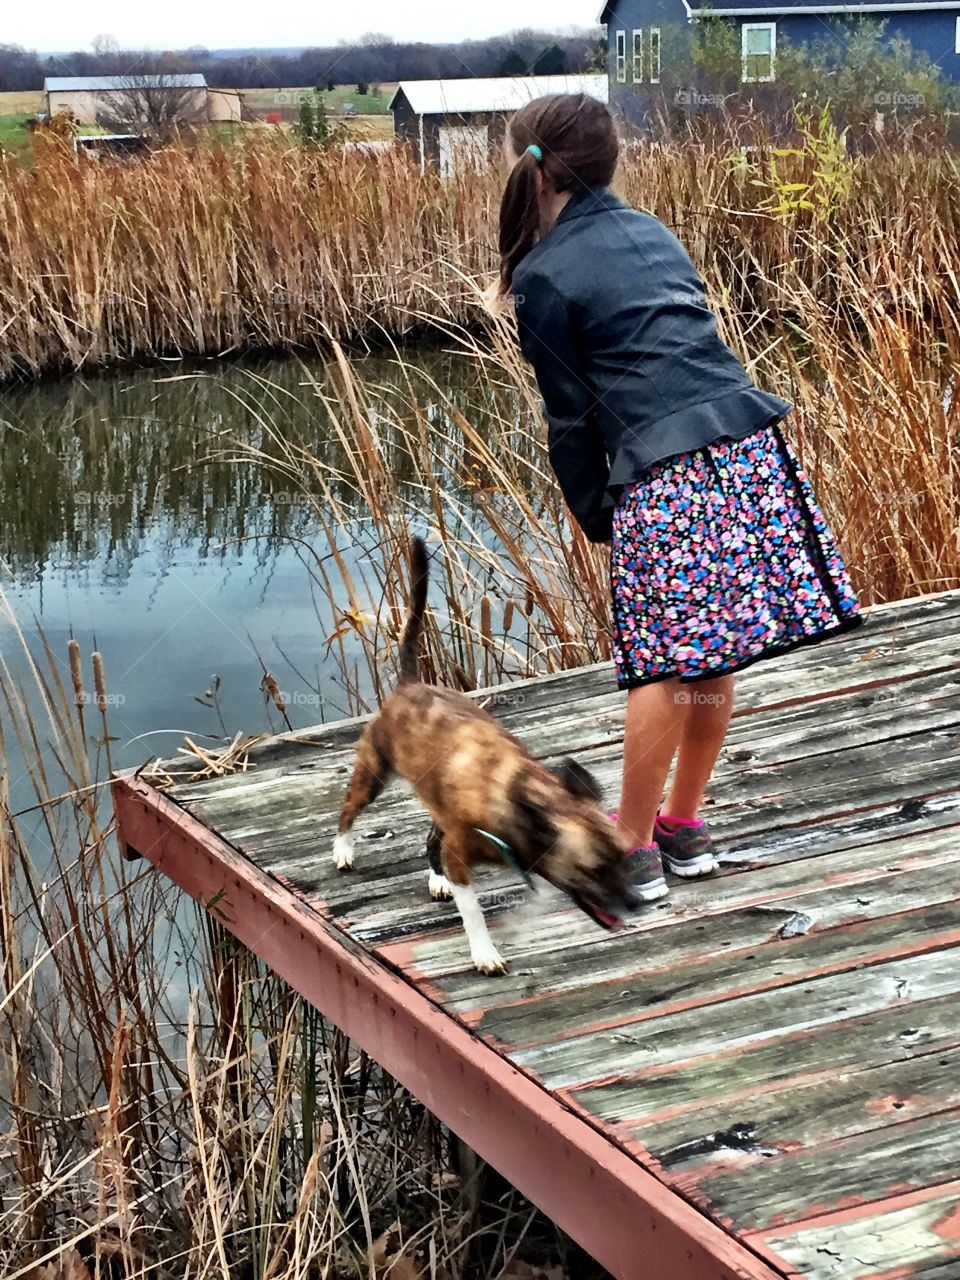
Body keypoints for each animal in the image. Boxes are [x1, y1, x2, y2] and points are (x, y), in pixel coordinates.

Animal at [335, 537, 634, 967]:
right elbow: (473, 911)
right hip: (374, 772)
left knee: (432, 839)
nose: (637, 902)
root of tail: (410, 684)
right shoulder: (461, 855)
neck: (514, 795)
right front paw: (484, 951)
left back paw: (435, 875)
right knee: (349, 808)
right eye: (592, 870)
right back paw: (343, 848)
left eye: (625, 859)